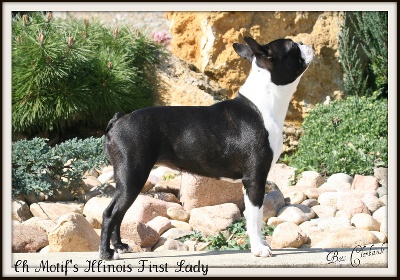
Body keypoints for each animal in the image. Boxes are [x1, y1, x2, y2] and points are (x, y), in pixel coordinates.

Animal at [100, 36, 312, 260]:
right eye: (293, 47)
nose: (304, 42)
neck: (264, 105)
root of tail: (119, 119)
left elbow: (256, 216)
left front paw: (261, 245)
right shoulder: (254, 179)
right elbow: (255, 217)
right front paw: (259, 248)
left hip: (130, 180)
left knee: (119, 213)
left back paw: (120, 246)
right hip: (132, 176)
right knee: (110, 213)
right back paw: (106, 253)